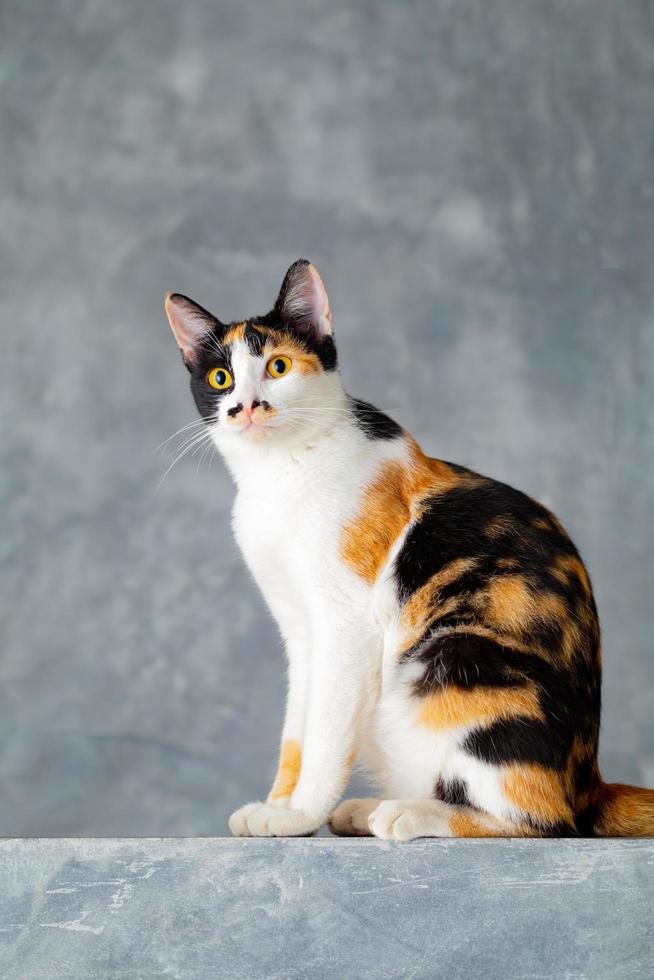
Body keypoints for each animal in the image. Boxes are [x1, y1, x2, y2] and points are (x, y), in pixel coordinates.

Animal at [165, 256, 654, 840]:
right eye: (221, 378)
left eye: (278, 367)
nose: (246, 407)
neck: (278, 472)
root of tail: (589, 782)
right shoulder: (301, 631)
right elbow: (298, 727)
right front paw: (280, 807)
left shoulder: (346, 622)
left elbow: (326, 730)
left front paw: (302, 813)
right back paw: (366, 810)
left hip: (459, 657)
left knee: (543, 819)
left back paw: (407, 814)